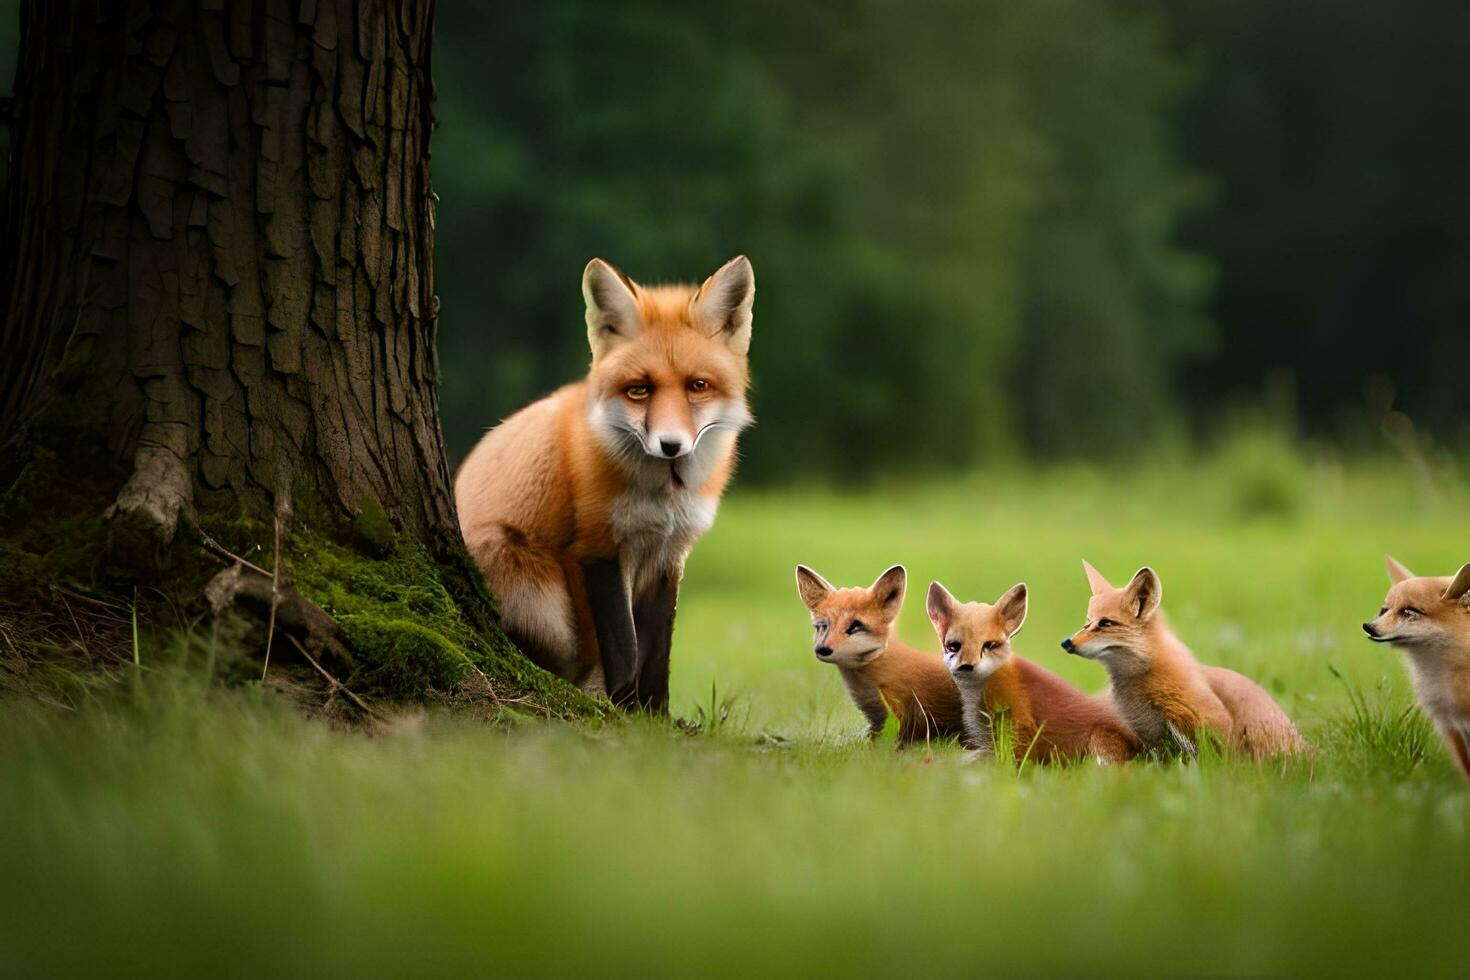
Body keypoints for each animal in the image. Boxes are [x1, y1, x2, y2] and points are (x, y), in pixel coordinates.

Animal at [455, 257, 758, 708]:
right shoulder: (597, 550)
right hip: (536, 589)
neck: (661, 500)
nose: (671, 445)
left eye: (698, 386)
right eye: (639, 390)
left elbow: (657, 652)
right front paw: (623, 708)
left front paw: (654, 715)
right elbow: (625, 647)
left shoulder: (669, 556)